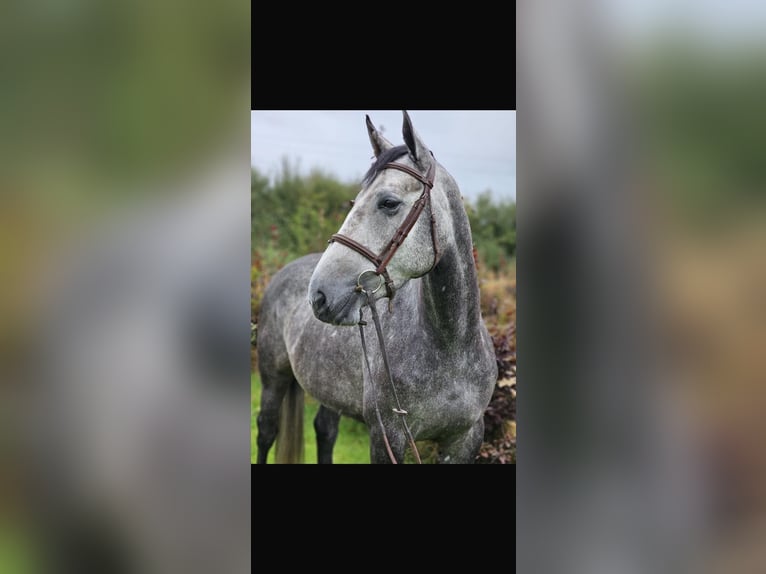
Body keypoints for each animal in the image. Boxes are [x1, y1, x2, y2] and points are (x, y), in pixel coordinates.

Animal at [256, 111, 498, 464]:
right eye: (354, 202)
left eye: (388, 202)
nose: (319, 296)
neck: (451, 347)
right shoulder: (389, 436)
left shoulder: (465, 439)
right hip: (273, 379)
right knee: (266, 432)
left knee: (325, 431)